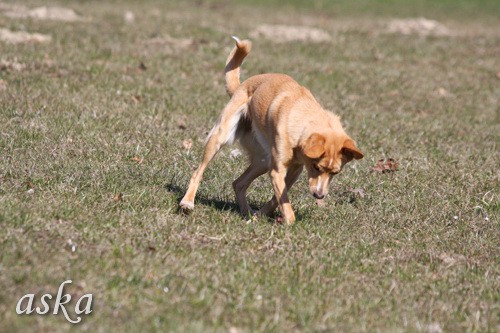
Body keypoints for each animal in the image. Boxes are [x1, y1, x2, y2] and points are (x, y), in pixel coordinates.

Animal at [180, 35, 364, 223]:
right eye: (316, 167)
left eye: (335, 172)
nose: (319, 196)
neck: (304, 117)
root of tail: (242, 85)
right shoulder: (277, 170)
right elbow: (285, 204)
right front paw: (288, 222)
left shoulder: (294, 170)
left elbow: (278, 198)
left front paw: (260, 216)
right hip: (219, 138)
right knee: (198, 172)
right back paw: (187, 202)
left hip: (263, 160)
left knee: (238, 183)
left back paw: (247, 212)